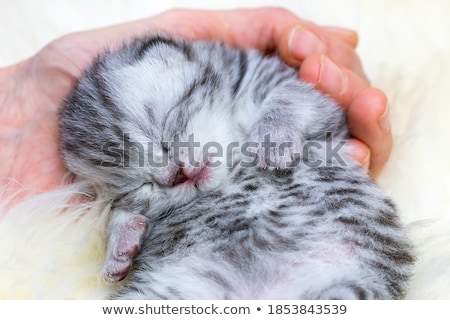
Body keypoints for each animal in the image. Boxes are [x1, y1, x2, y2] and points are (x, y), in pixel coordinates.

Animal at [59, 33, 414, 298]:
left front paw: (273, 137)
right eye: (142, 185)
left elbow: (289, 95)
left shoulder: (319, 105)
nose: (177, 175)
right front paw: (120, 244)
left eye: (165, 134)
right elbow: (122, 214)